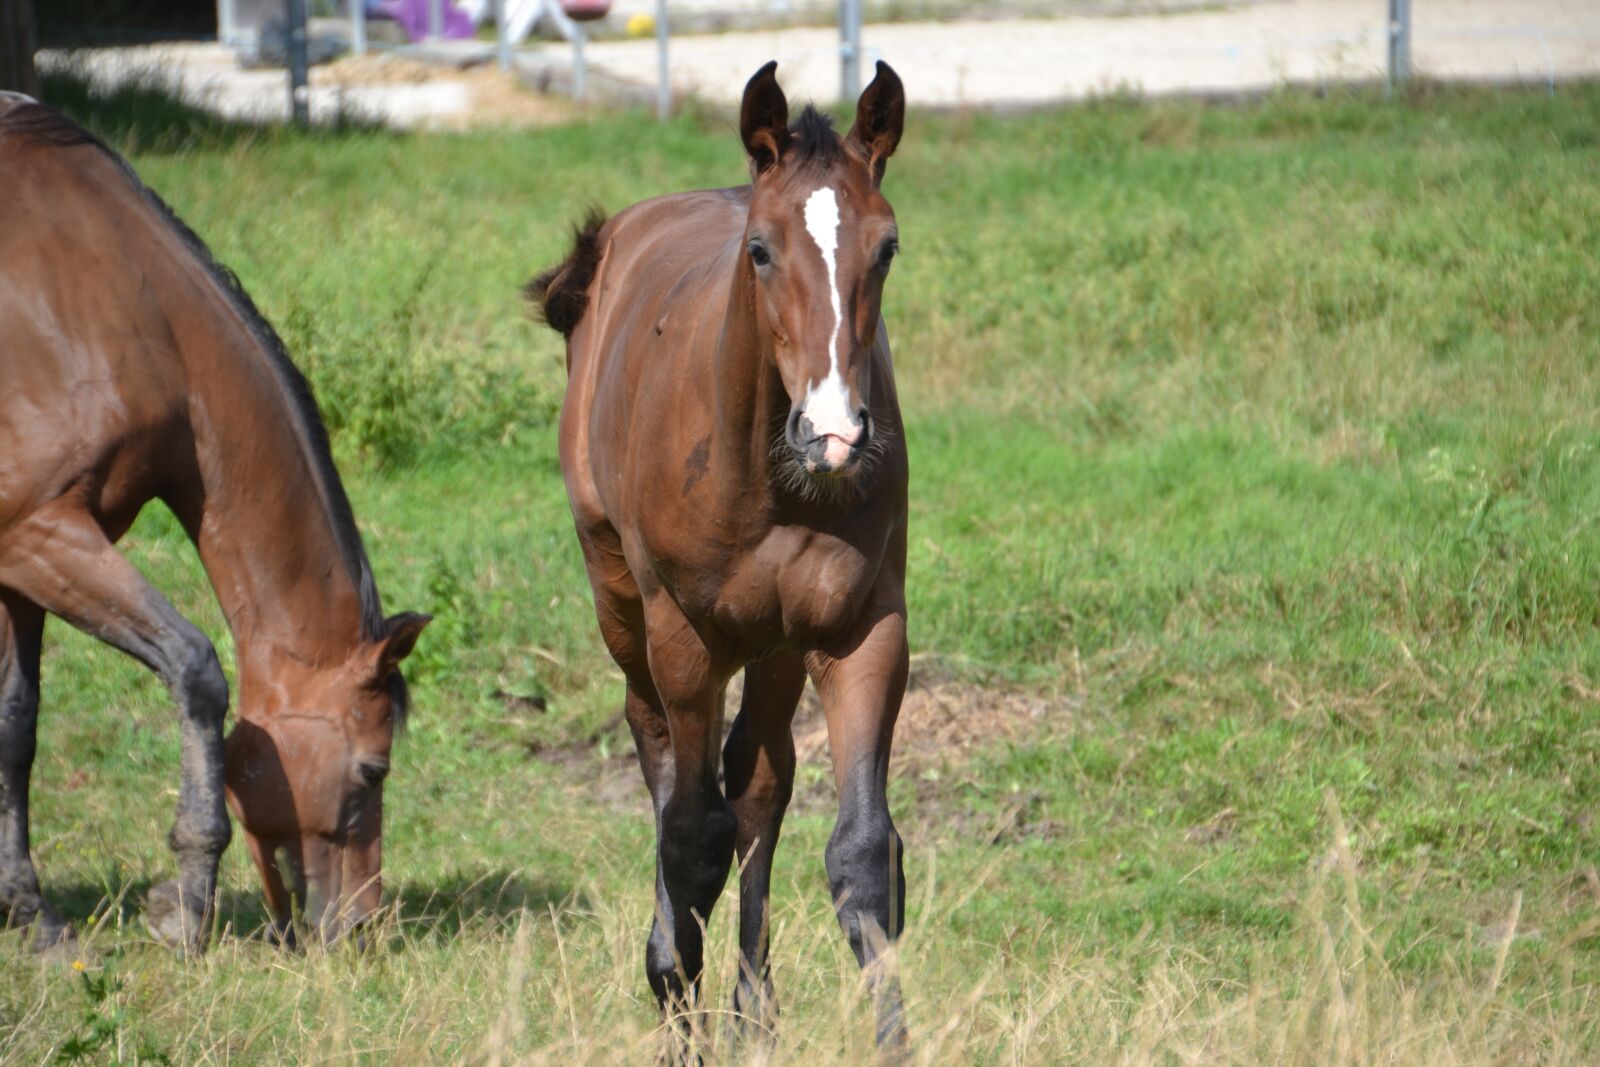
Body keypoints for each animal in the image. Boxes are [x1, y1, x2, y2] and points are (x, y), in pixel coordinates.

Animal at [0, 95, 430, 952]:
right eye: (373, 770)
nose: (362, 925)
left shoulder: (18, 562)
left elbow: (15, 727)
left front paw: (30, 913)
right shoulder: (39, 532)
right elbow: (196, 669)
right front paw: (187, 902)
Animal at [529, 61, 911, 1049]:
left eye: (887, 248)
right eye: (762, 251)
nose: (834, 433)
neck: (767, 475)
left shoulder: (863, 629)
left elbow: (863, 851)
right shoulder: (685, 637)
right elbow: (690, 835)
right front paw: (676, 1002)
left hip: (776, 641)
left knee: (759, 781)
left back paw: (754, 1007)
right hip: (622, 604)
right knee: (661, 755)